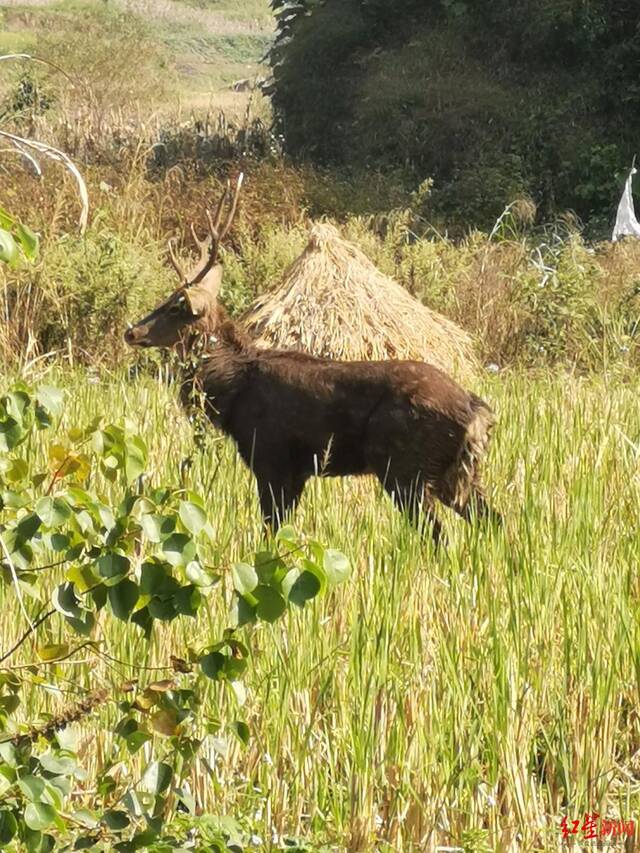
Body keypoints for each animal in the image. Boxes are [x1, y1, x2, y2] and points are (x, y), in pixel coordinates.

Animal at [122, 176, 498, 544]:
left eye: (175, 306)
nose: (132, 331)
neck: (234, 388)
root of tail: (475, 411)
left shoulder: (270, 453)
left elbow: (269, 531)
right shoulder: (298, 470)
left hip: (405, 465)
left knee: (439, 534)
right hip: (456, 474)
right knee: (493, 520)